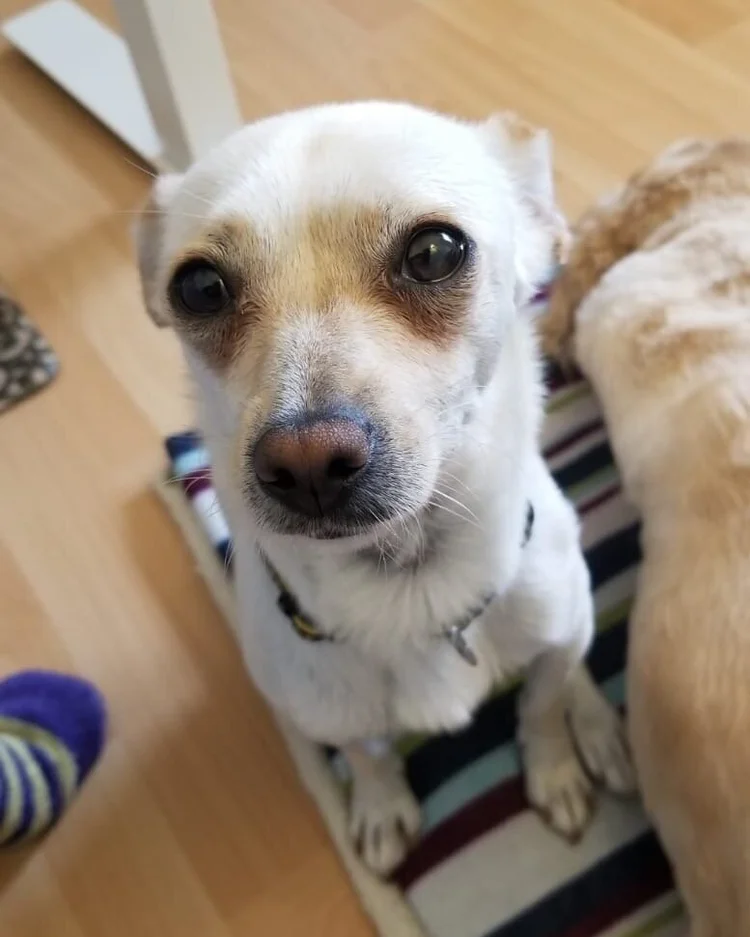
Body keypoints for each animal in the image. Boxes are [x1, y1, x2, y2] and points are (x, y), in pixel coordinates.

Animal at [137, 102, 634, 876]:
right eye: (199, 287)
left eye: (434, 252)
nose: (306, 461)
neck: (408, 585)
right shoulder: (324, 707)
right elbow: (366, 752)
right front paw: (380, 809)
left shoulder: (547, 645)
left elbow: (540, 705)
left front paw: (554, 768)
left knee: (568, 653)